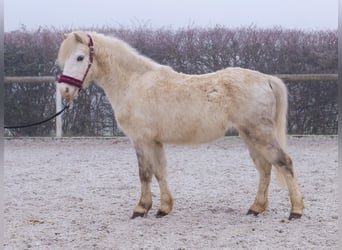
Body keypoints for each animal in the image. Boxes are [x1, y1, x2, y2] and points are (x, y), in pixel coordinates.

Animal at [57, 30, 304, 219]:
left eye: (79, 58)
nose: (65, 90)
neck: (135, 84)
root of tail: (266, 79)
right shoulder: (155, 141)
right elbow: (160, 172)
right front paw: (164, 208)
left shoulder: (141, 140)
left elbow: (144, 173)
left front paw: (141, 208)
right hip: (249, 134)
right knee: (265, 168)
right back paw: (256, 208)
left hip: (260, 133)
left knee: (284, 163)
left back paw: (296, 210)